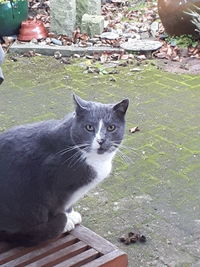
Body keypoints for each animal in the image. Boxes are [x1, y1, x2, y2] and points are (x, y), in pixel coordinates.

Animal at [0, 94, 129, 247]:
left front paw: (71, 215)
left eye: (111, 127)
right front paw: (68, 222)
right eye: (89, 127)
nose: (101, 140)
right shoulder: (54, 185)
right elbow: (59, 205)